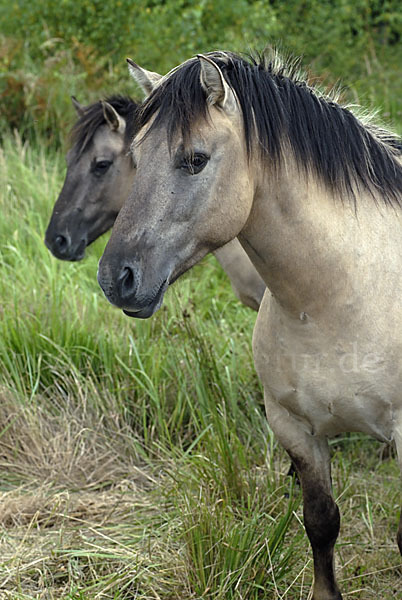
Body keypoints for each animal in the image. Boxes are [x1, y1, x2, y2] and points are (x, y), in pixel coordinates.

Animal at [97, 52, 402, 600]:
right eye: (134, 158)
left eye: (195, 159)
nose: (117, 278)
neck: (333, 300)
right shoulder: (293, 428)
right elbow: (321, 522)